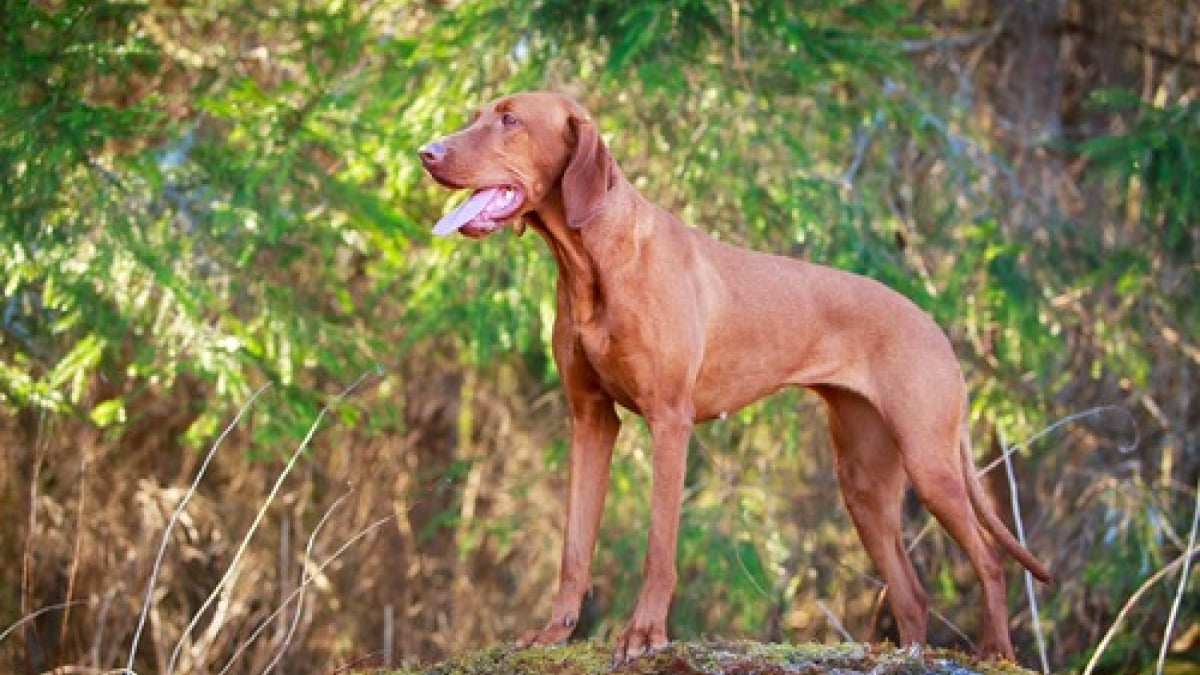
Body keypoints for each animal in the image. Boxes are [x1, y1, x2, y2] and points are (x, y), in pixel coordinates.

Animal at [420, 90, 1051, 662]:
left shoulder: (669, 422)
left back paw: (998, 651)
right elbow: (574, 548)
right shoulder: (591, 420)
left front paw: (643, 635)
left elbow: (659, 548)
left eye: (510, 120)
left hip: (930, 462)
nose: (427, 152)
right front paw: (556, 633)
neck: (593, 262)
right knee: (913, 593)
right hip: (864, 483)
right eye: (477, 114)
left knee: (990, 561)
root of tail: (936, 328)